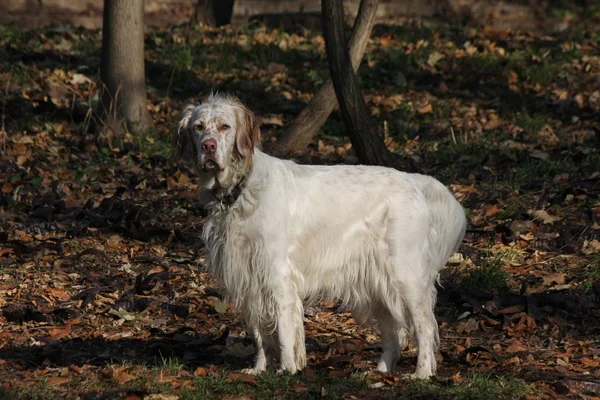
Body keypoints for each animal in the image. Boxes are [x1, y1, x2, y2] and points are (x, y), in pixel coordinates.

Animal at [176, 94, 466, 378]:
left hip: (406, 277)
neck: (241, 190)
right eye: (198, 127)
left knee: (425, 325)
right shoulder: (247, 278)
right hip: (378, 282)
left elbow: (284, 331)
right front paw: (259, 369)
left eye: (225, 126)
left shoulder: (277, 275)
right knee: (394, 333)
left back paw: (422, 373)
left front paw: (287, 369)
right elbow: (259, 334)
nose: (208, 147)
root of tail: (414, 181)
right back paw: (380, 372)